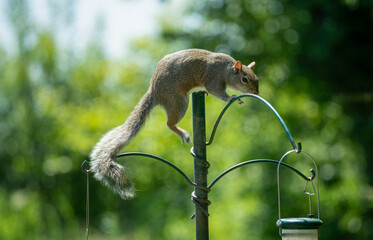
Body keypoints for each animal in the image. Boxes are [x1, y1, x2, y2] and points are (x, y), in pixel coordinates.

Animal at [90, 48, 258, 199]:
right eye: (244, 79)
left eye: (256, 78)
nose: (256, 92)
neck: (226, 69)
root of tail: (154, 91)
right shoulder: (214, 79)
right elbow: (217, 91)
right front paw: (231, 98)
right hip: (178, 102)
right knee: (169, 123)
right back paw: (182, 133)